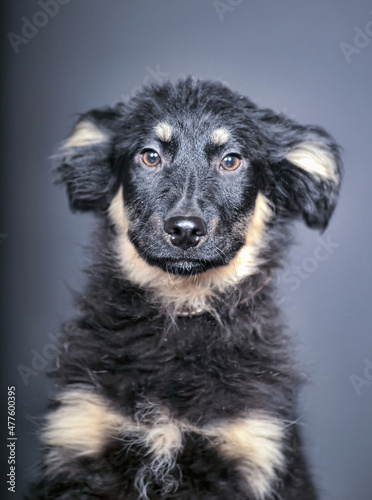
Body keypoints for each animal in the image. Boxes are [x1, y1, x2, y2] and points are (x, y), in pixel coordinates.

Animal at [29, 80, 342, 498]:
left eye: (231, 160)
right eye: (150, 156)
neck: (182, 308)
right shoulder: (81, 437)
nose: (185, 229)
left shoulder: (246, 449)